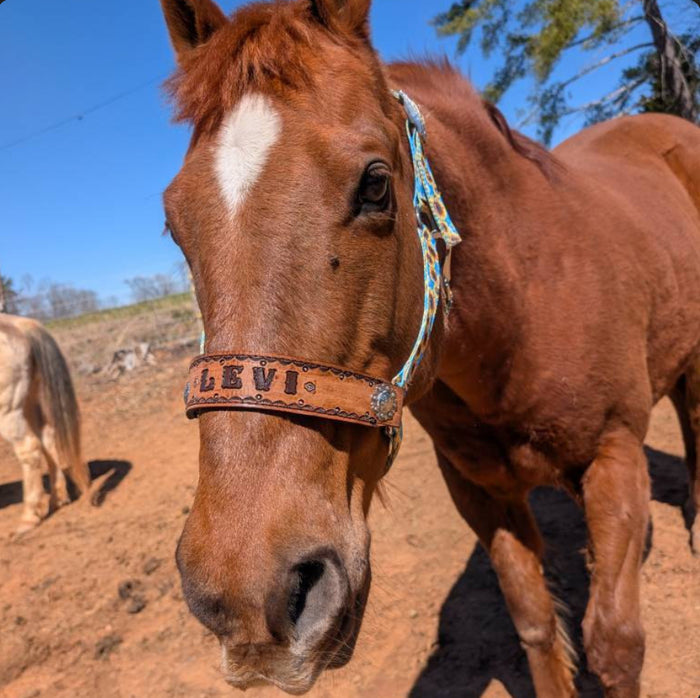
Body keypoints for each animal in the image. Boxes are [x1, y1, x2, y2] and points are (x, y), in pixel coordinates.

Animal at [0, 314, 90, 534]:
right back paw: (58, 499)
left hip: (9, 411)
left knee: (29, 448)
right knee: (47, 436)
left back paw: (29, 517)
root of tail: (19, 324)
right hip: (29, 400)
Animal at [158, 0, 700, 695]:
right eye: (174, 222)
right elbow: (536, 627)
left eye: (376, 185)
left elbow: (615, 645)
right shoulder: (477, 488)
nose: (245, 595)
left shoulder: (616, 458)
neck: (522, 315)